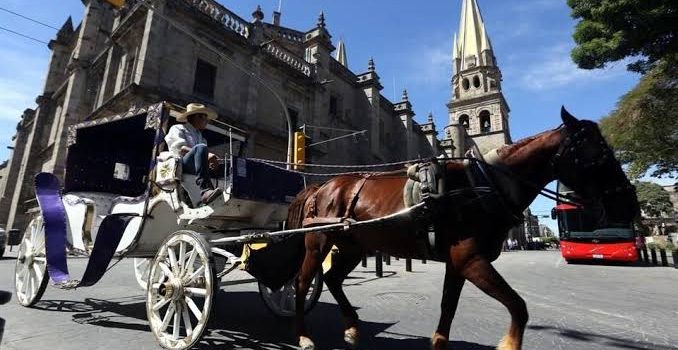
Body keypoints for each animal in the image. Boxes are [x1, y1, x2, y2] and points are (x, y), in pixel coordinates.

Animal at [290, 107, 640, 350]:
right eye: (600, 154)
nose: (630, 202)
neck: (485, 184)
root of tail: (322, 186)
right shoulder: (471, 260)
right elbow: (519, 306)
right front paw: (509, 344)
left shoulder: (457, 264)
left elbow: (448, 308)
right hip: (318, 242)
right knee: (303, 283)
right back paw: (304, 336)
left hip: (354, 246)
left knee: (333, 278)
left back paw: (351, 327)